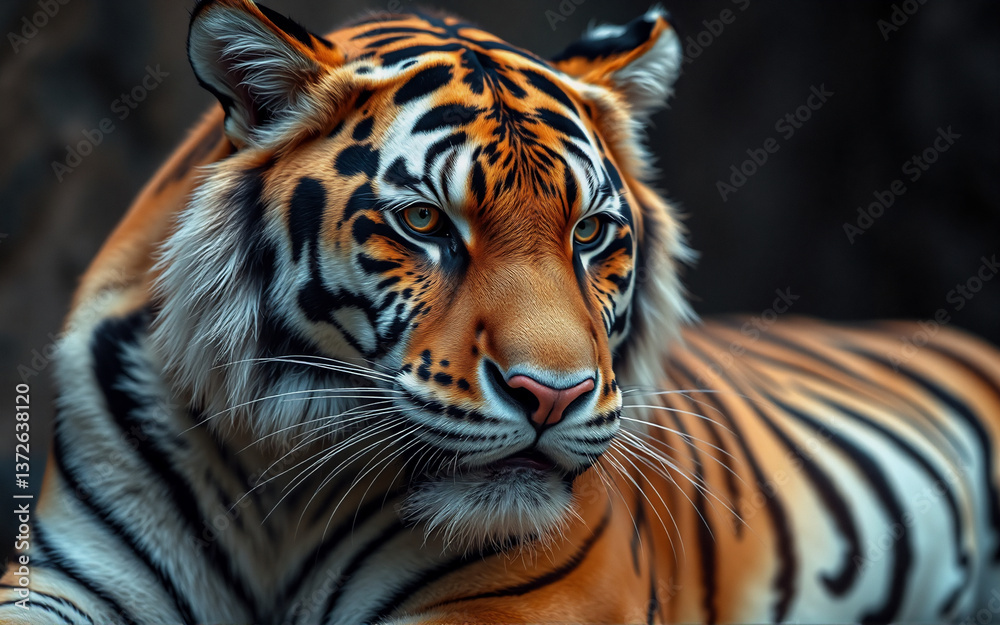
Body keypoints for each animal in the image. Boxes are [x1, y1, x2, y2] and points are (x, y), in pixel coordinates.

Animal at [3, 0, 1000, 623]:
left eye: (591, 233)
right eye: (424, 223)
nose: (551, 396)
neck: (283, 492)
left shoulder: (528, 602)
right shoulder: (71, 574)